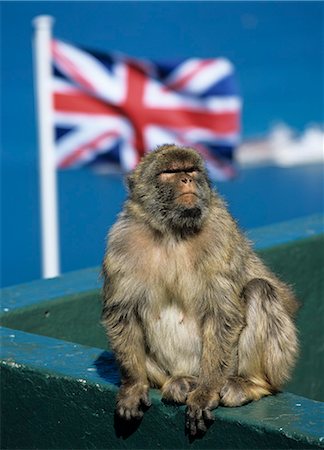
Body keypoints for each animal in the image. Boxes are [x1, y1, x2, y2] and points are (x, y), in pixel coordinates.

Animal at [102, 144, 300, 436]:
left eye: (191, 169)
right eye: (170, 172)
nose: (187, 179)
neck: (172, 232)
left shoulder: (220, 233)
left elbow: (223, 314)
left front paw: (206, 391)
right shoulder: (121, 241)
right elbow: (122, 314)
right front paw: (134, 385)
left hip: (275, 364)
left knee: (259, 289)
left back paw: (250, 383)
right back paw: (179, 381)